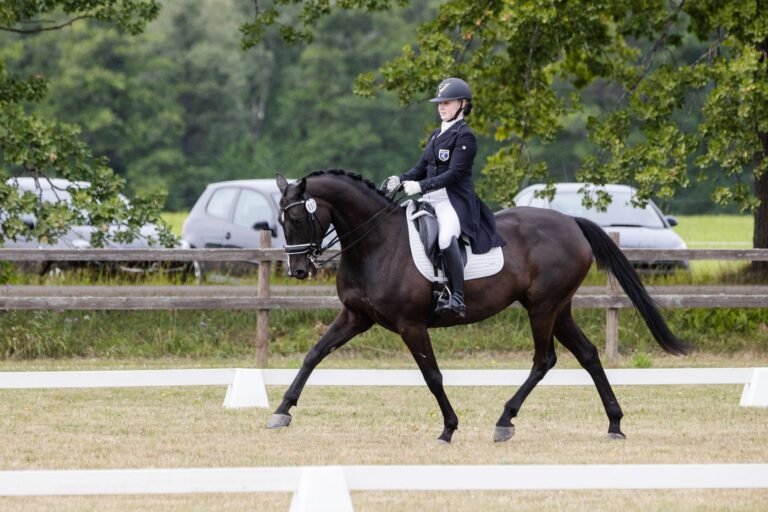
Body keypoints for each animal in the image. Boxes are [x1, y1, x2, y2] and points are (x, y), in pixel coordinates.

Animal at [268, 169, 691, 443]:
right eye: (280, 219)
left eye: (297, 216)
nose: (298, 270)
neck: (376, 244)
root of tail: (571, 222)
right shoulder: (356, 316)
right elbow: (314, 354)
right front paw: (282, 410)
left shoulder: (410, 325)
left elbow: (432, 376)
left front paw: (448, 428)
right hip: (558, 308)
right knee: (587, 354)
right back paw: (614, 424)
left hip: (542, 308)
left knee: (544, 360)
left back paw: (505, 420)